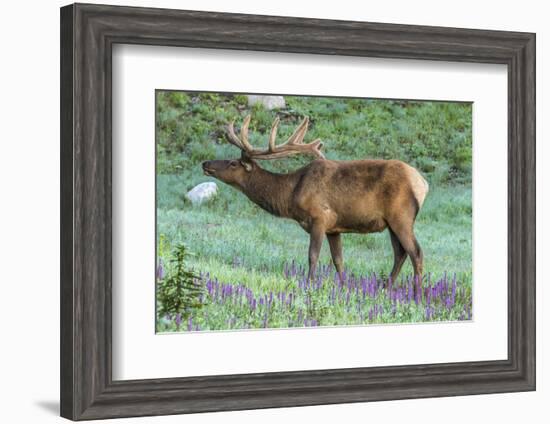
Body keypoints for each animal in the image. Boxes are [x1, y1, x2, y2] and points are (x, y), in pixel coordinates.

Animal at [203, 115, 432, 284]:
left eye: (233, 163)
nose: (205, 163)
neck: (291, 194)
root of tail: (423, 183)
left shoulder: (319, 218)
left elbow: (312, 255)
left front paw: (310, 284)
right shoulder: (334, 228)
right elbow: (338, 260)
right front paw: (343, 287)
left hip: (401, 216)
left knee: (416, 252)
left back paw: (416, 294)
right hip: (391, 223)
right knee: (400, 253)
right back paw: (386, 288)